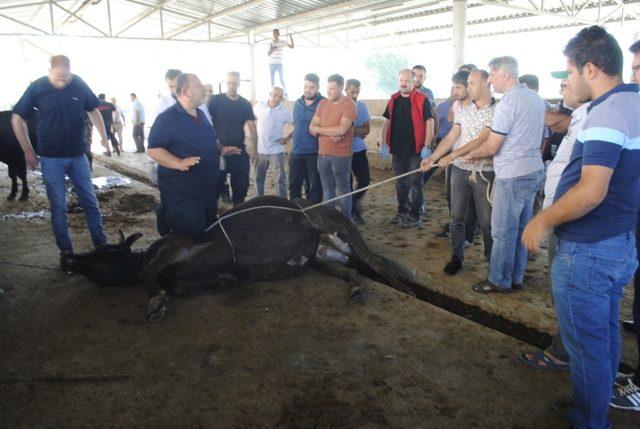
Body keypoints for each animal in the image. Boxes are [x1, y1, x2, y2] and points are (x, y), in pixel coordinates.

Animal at [71, 196, 420, 320]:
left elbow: (152, 274)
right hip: (318, 259)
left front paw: (156, 301)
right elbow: (185, 284)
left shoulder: (178, 245)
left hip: (337, 224)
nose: (70, 259)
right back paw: (358, 288)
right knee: (351, 271)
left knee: (372, 261)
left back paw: (406, 286)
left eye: (101, 252)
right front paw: (217, 281)